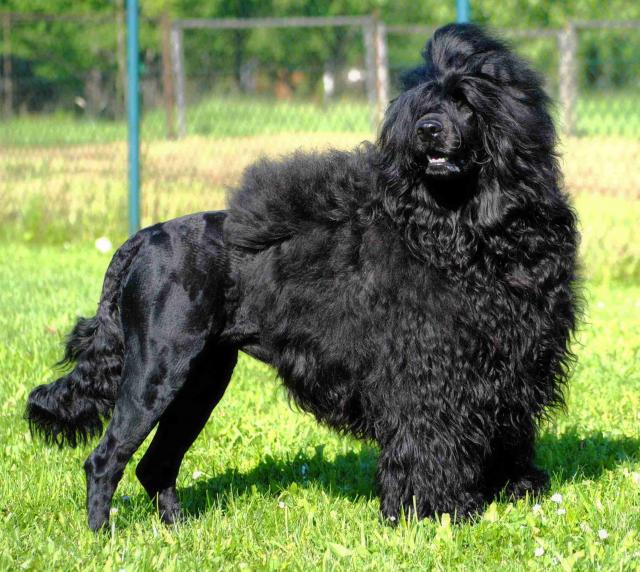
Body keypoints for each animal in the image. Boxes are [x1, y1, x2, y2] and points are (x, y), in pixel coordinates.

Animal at [26, 24, 579, 531]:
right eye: (423, 105)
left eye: (465, 102)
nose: (427, 130)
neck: (467, 227)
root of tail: (144, 238)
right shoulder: (425, 374)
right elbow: (428, 444)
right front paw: (431, 513)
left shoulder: (508, 363)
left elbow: (506, 429)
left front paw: (514, 490)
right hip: (155, 369)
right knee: (104, 460)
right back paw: (104, 538)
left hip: (199, 380)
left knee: (156, 465)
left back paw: (176, 533)